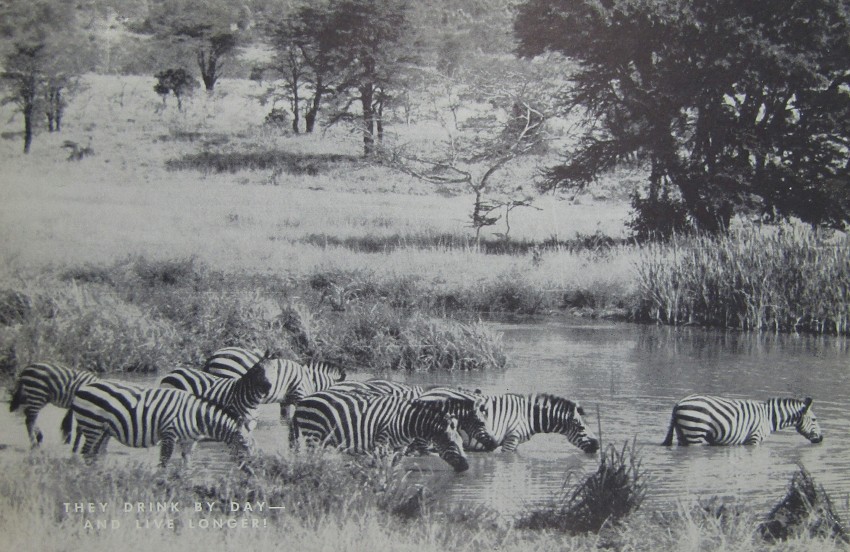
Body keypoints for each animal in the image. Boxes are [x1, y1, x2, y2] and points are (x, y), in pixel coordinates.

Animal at [62, 381, 254, 468]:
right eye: (244, 445)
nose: (253, 472)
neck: (196, 417)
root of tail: (82, 388)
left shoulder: (189, 441)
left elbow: (187, 464)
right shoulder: (169, 434)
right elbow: (163, 462)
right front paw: (162, 485)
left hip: (103, 430)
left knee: (94, 452)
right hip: (91, 425)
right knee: (86, 452)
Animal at [290, 391, 472, 472]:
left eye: (462, 442)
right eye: (451, 443)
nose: (466, 467)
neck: (408, 421)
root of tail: (303, 401)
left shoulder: (401, 447)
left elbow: (393, 466)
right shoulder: (382, 442)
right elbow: (380, 465)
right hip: (313, 434)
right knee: (312, 458)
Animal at [661, 394, 824, 446]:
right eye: (814, 419)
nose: (821, 439)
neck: (768, 418)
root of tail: (678, 403)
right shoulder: (754, 439)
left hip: (683, 433)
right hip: (695, 432)